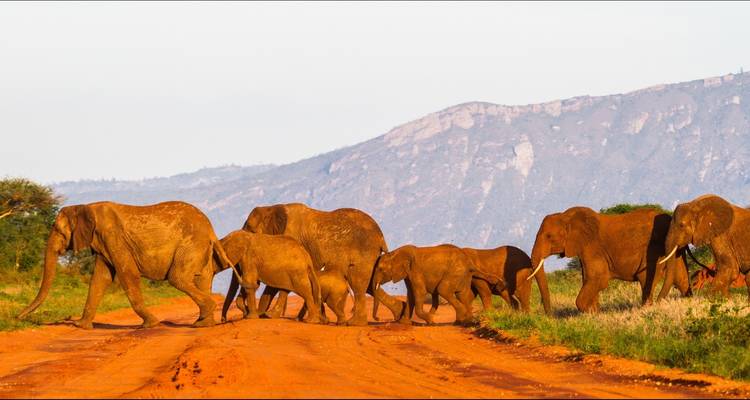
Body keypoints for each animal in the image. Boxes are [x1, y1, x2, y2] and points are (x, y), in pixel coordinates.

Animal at [17, 201, 233, 329]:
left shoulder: (113, 237)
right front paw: (81, 325)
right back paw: (203, 324)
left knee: (177, 278)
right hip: (200, 249)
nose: (19, 317)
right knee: (202, 279)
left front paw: (150, 324)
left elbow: (127, 274)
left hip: (191, 244)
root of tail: (211, 229)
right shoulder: (103, 243)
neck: (86, 207)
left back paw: (203, 318)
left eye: (59, 231)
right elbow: (100, 278)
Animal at [242, 203, 403, 326]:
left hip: (364, 252)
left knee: (357, 283)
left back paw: (355, 323)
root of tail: (381, 237)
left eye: (250, 229)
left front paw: (268, 315)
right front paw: (263, 314)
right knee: (369, 284)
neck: (271, 208)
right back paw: (399, 313)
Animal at [371, 244, 503, 325]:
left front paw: (431, 320)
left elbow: (419, 292)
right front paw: (404, 323)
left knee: (443, 289)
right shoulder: (408, 274)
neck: (395, 253)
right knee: (463, 294)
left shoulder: (415, 270)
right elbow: (411, 294)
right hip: (463, 275)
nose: (378, 318)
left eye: (381, 269)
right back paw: (466, 321)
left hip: (455, 272)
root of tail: (469, 262)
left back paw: (462, 319)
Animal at [528, 207, 691, 312]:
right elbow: (589, 279)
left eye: (549, 236)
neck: (566, 216)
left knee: (646, 278)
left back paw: (646, 308)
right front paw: (594, 312)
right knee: (680, 277)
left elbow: (598, 279)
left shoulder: (592, 247)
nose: (548, 315)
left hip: (655, 250)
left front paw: (591, 313)